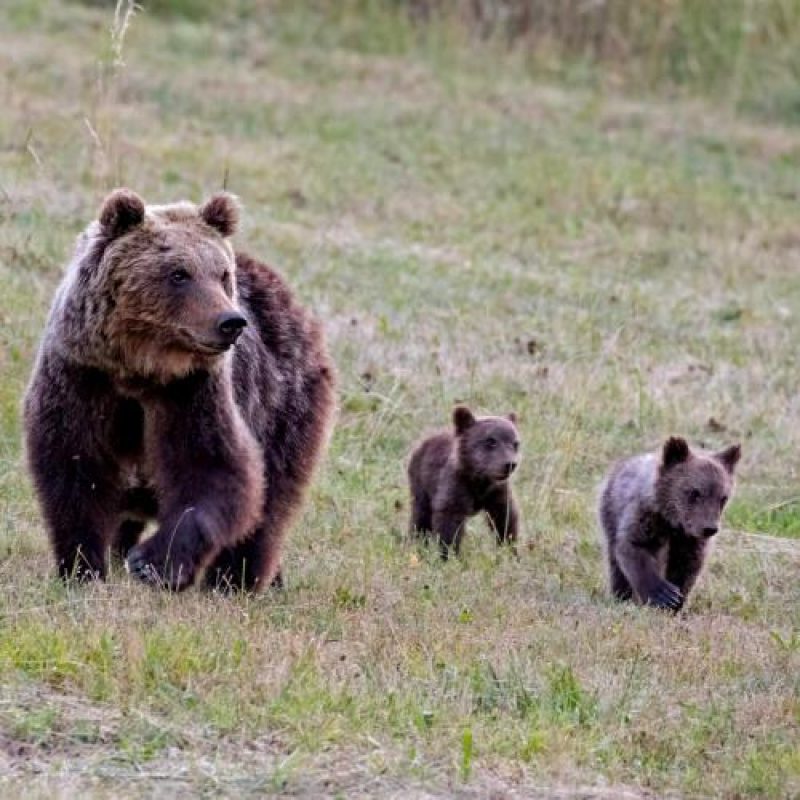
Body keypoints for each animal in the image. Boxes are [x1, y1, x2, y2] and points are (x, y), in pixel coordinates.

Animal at [22, 186, 334, 588]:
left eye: (222, 274)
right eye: (178, 273)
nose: (231, 322)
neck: (139, 369)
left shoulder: (192, 393)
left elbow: (214, 470)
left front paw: (153, 562)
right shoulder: (83, 379)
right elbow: (74, 470)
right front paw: (82, 567)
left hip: (284, 405)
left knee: (271, 502)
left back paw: (236, 579)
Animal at [410, 406, 520, 556]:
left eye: (515, 443)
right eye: (491, 441)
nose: (510, 464)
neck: (479, 480)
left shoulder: (496, 492)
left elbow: (505, 519)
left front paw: (509, 549)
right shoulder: (456, 486)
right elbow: (449, 522)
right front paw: (448, 554)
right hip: (421, 484)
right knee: (421, 518)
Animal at [596, 434, 740, 608]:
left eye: (723, 498)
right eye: (694, 493)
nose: (709, 528)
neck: (672, 523)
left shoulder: (689, 540)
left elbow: (686, 567)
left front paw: (675, 602)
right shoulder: (645, 515)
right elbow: (633, 546)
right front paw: (663, 594)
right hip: (610, 511)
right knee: (615, 562)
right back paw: (621, 596)